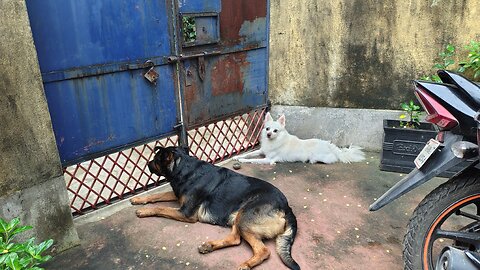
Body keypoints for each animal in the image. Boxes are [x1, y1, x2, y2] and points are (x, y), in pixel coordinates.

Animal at [129, 148, 298, 270]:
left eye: (156, 160)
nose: (147, 164)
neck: (184, 168)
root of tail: (286, 207)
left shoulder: (186, 213)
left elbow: (160, 208)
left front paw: (144, 211)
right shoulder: (177, 196)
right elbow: (157, 195)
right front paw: (139, 200)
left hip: (244, 217)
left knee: (263, 251)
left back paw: (245, 265)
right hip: (238, 216)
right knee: (235, 239)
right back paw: (209, 246)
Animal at [234, 112, 366, 165]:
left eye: (275, 131)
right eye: (267, 129)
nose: (269, 134)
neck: (274, 141)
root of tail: (329, 145)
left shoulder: (268, 160)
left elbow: (253, 160)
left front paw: (242, 160)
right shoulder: (262, 151)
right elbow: (250, 154)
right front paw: (237, 157)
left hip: (319, 156)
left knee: (332, 159)